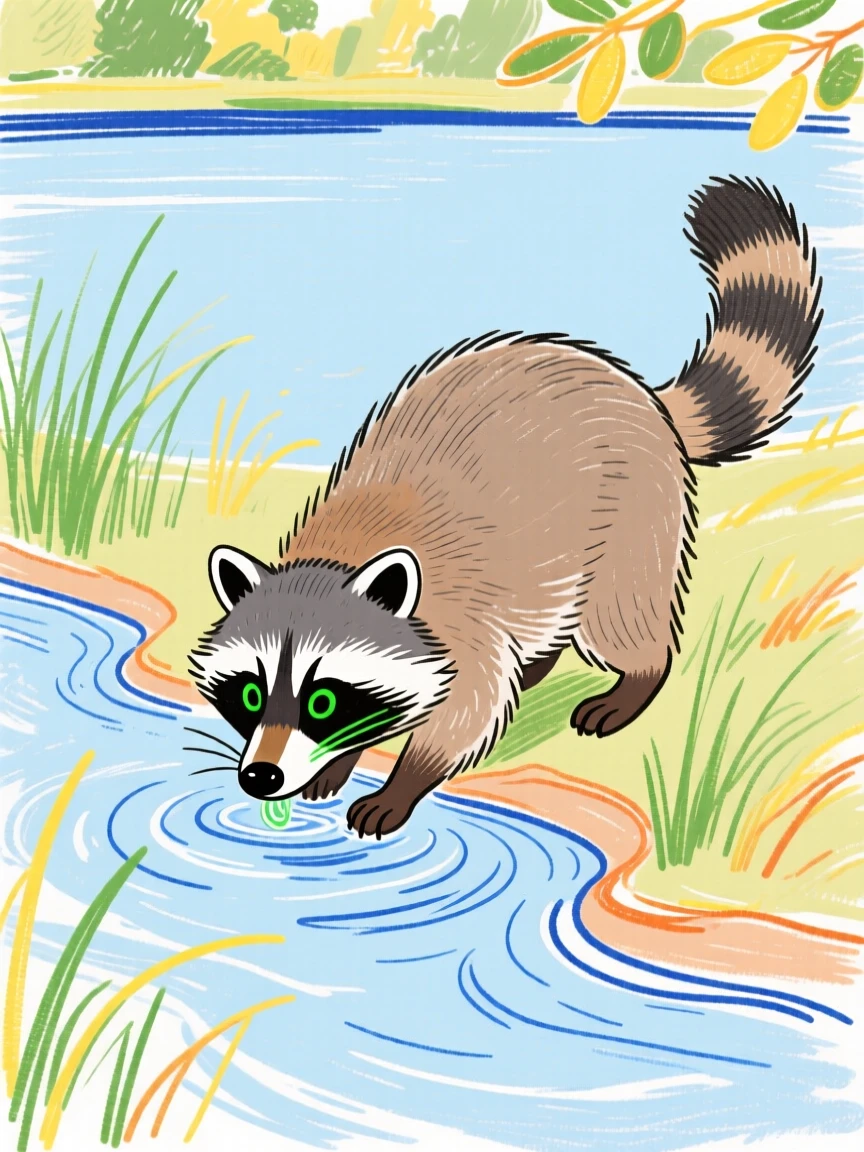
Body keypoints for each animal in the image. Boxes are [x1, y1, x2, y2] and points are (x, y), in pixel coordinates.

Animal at [190, 176, 822, 839]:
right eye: (251, 695)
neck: (339, 555)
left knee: (620, 615)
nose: (261, 777)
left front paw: (401, 782)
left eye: (322, 700)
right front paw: (342, 757)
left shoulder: (462, 624)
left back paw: (637, 677)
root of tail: (638, 390)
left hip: (635, 513)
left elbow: (467, 709)